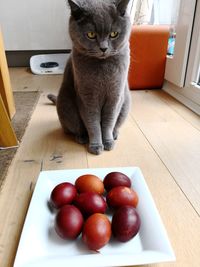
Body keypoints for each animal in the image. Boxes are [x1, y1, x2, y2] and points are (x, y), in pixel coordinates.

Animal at [48, 0, 132, 156]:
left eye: (114, 34)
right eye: (91, 34)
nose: (103, 48)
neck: (102, 67)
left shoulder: (115, 96)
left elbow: (108, 122)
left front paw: (108, 141)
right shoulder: (87, 97)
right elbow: (92, 123)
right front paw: (96, 145)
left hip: (126, 104)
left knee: (116, 124)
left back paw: (115, 134)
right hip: (66, 104)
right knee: (72, 128)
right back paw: (81, 137)